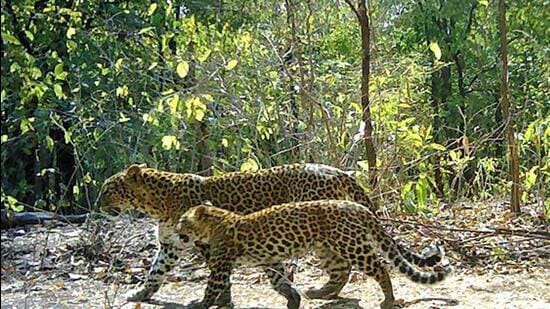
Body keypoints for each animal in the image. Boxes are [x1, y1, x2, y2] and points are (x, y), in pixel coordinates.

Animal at [100, 162, 418, 302]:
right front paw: (140, 293)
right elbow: (156, 272)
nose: (98, 204)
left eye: (109, 190)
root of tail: (337, 171)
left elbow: (219, 276)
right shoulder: (170, 244)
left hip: (320, 232)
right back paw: (323, 292)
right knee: (342, 266)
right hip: (322, 238)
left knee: (349, 264)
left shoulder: (207, 245)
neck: (157, 202)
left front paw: (220, 301)